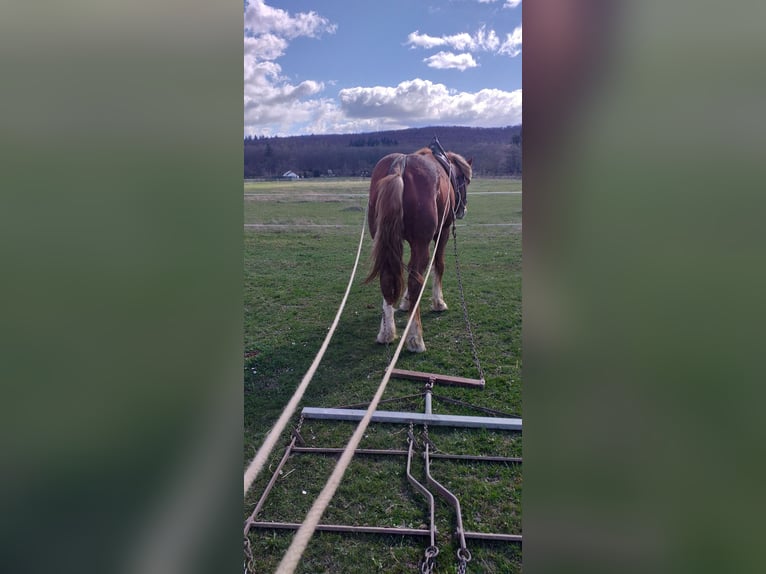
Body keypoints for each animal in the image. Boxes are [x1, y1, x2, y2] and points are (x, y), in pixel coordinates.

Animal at [364, 143, 472, 353]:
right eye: (466, 180)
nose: (463, 209)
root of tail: (400, 165)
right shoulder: (442, 232)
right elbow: (439, 264)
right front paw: (438, 302)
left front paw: (405, 302)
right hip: (422, 243)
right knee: (416, 281)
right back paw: (415, 339)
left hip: (387, 242)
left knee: (387, 278)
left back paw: (386, 333)